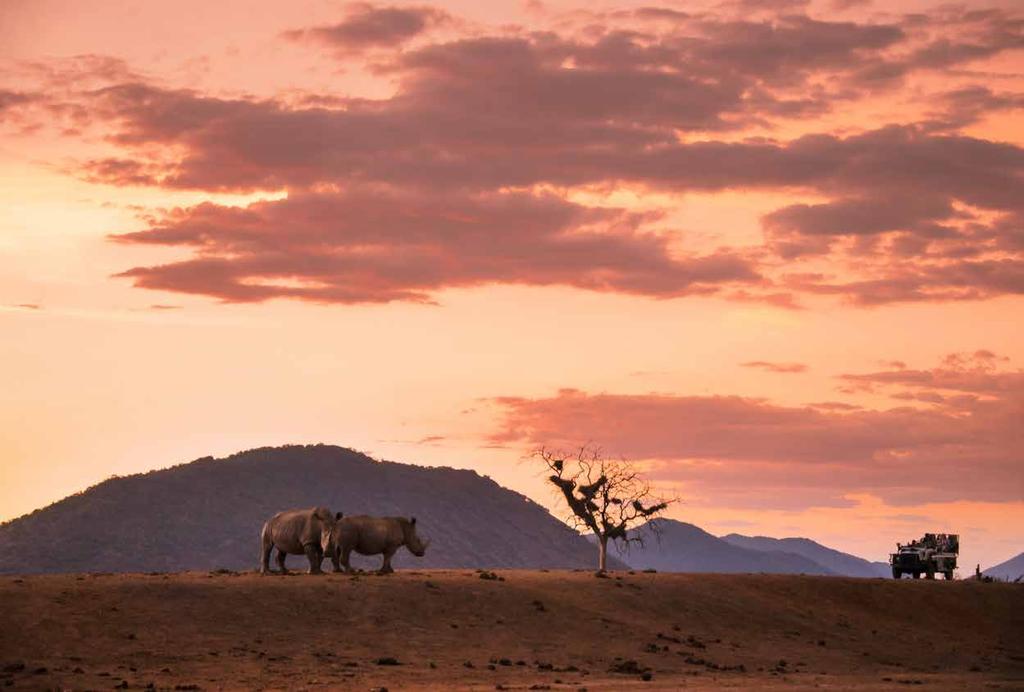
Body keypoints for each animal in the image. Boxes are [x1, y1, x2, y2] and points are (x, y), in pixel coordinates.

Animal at [262, 505, 430, 577]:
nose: (421, 553)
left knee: (282, 550)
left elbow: (386, 557)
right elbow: (388, 557)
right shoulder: (391, 546)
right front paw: (385, 572)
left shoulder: (389, 546)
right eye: (418, 539)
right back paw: (351, 571)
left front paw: (389, 571)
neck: (406, 527)